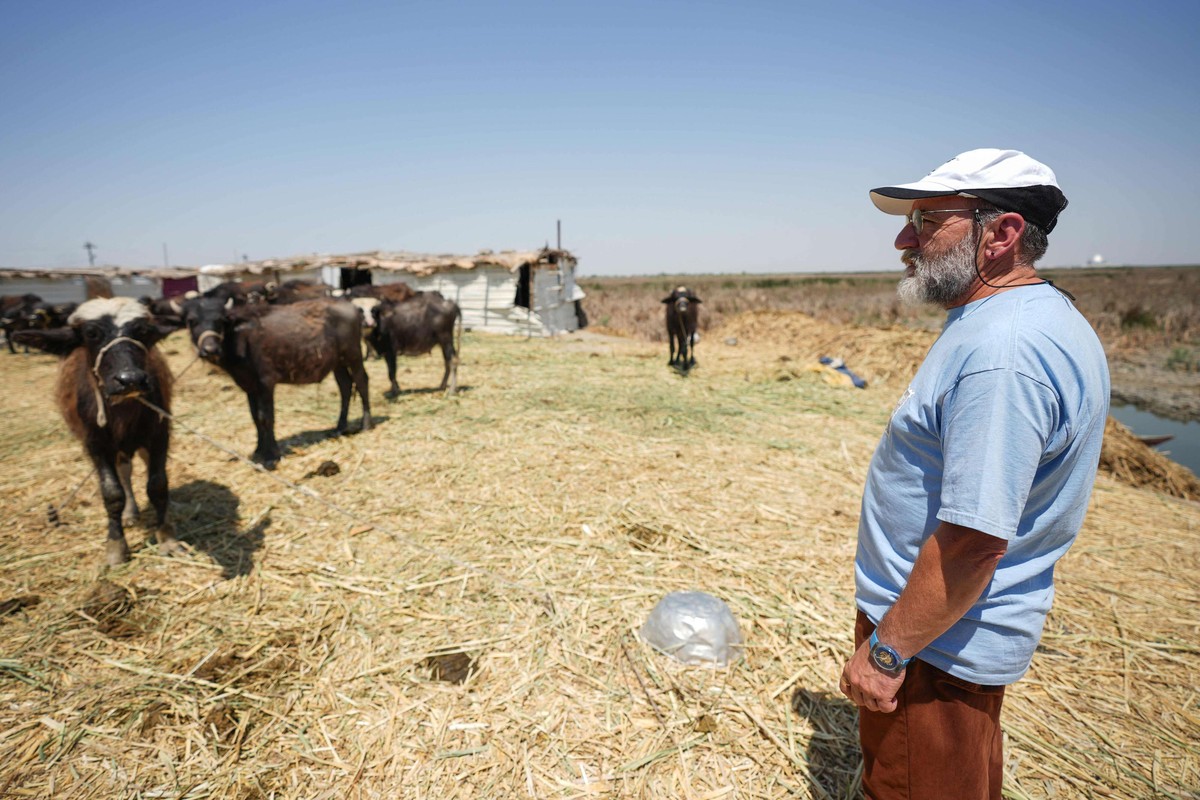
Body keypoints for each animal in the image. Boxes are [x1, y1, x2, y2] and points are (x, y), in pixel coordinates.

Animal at [12, 297, 182, 566]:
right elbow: (112, 493)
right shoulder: (95, 444)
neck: (123, 411)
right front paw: (115, 546)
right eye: (91, 333)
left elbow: (157, 485)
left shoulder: (159, 434)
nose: (130, 379)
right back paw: (130, 513)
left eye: (142, 331)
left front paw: (167, 536)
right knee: (124, 475)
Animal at [181, 296, 369, 470]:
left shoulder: (266, 383)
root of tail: (351, 306)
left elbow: (266, 417)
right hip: (338, 363)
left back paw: (365, 424)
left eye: (221, 320)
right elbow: (255, 417)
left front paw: (271, 455)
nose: (210, 349)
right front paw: (258, 449)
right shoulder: (249, 386)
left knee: (362, 382)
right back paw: (340, 427)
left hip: (354, 355)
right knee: (345, 386)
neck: (241, 339)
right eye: (192, 321)